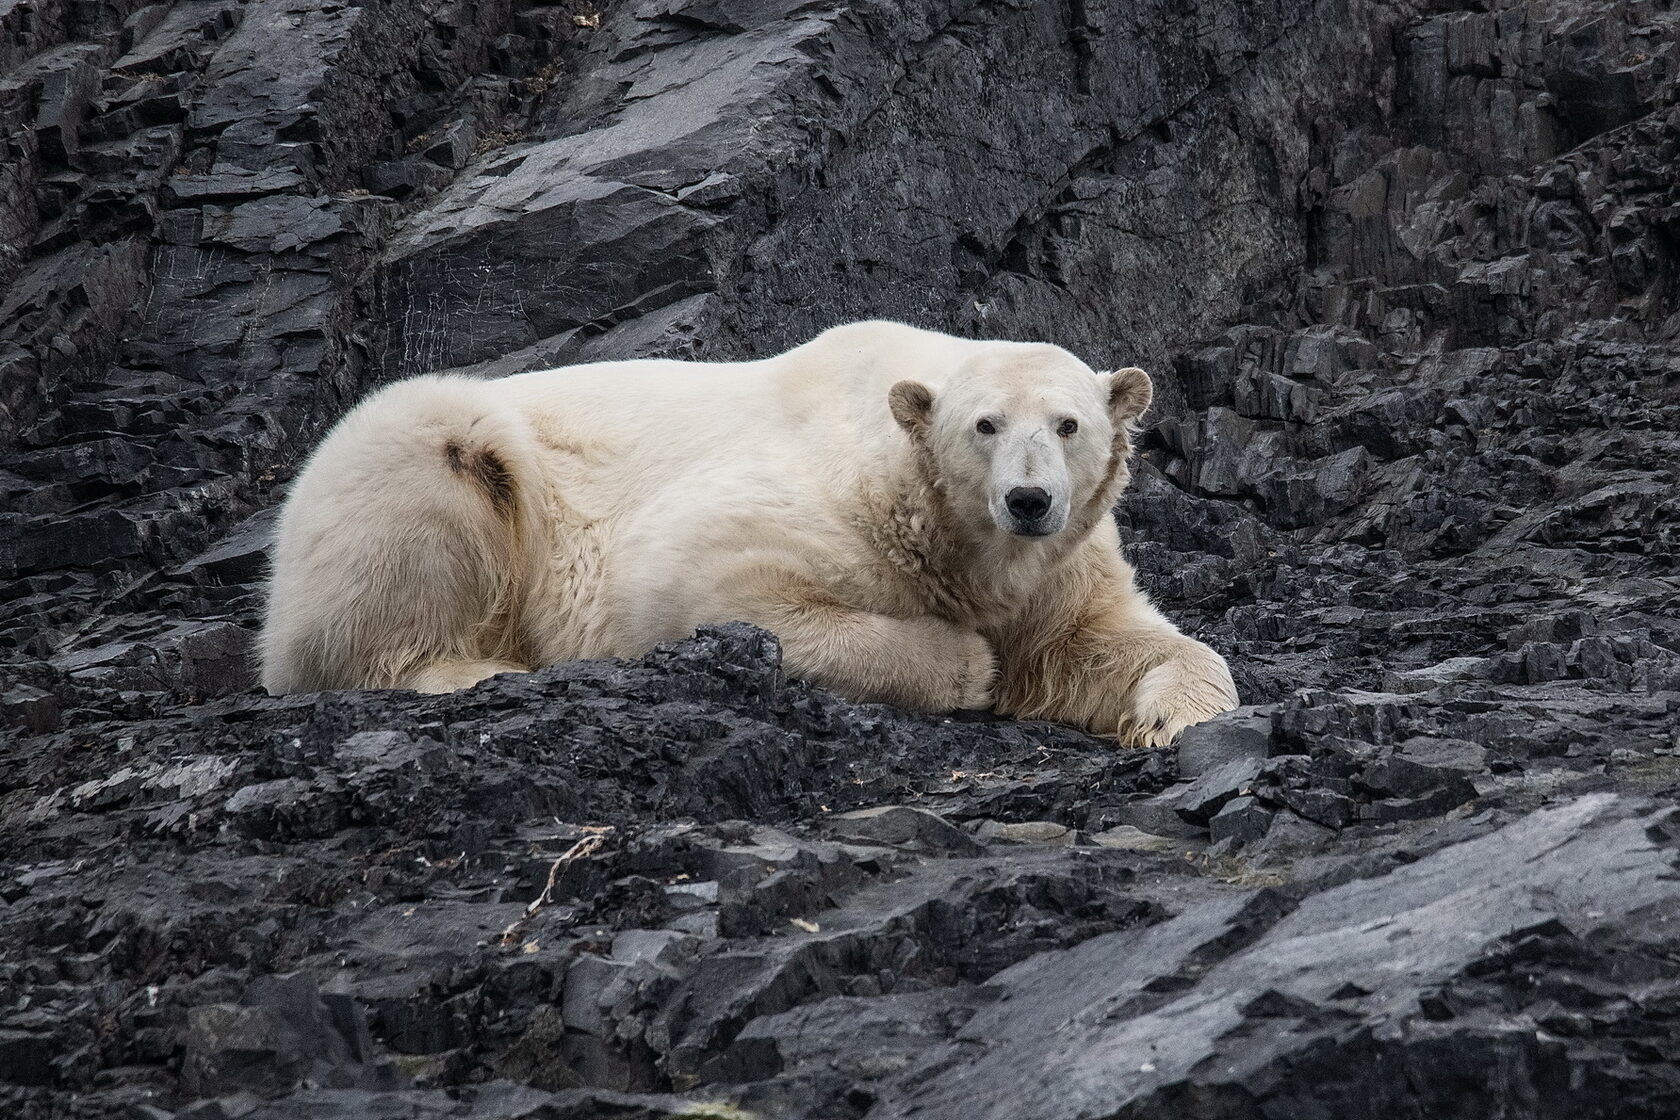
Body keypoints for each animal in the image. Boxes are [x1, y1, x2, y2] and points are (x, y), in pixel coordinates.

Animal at [258, 319, 1236, 748]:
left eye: (1068, 425)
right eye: (984, 425)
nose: (1030, 501)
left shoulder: (1057, 570)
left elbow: (1099, 642)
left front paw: (1174, 712)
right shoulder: (811, 510)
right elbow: (713, 592)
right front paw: (967, 662)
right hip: (428, 456)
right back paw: (470, 667)